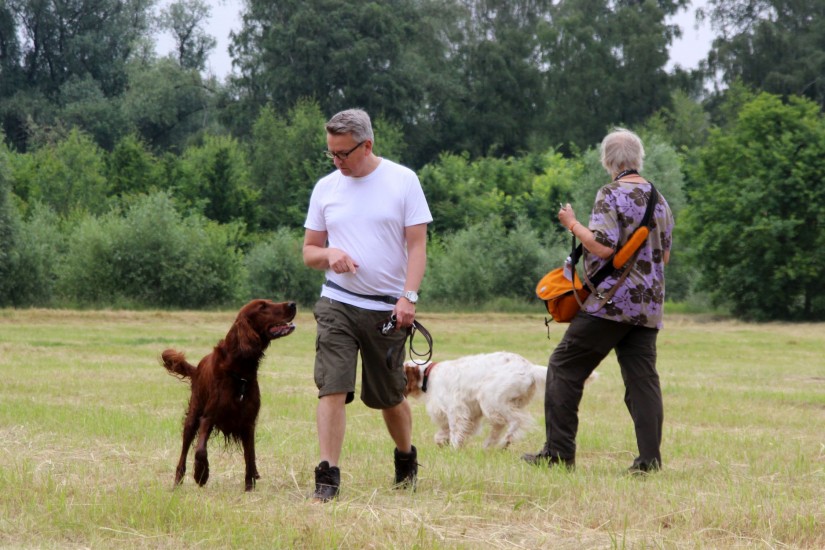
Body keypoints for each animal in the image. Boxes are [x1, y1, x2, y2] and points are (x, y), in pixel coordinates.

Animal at [161, 299, 296, 491]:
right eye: (263, 307)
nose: (293, 304)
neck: (239, 372)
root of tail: (197, 369)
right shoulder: (208, 417)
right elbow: (200, 450)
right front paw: (201, 475)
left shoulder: (248, 423)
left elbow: (250, 457)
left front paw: (249, 486)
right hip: (193, 416)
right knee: (185, 451)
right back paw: (177, 482)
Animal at [404, 351, 597, 449]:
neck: (428, 375)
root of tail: (530, 368)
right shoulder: (471, 415)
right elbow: (443, 433)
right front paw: (442, 441)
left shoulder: (456, 409)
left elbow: (454, 430)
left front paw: (453, 447)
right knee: (500, 426)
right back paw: (489, 446)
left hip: (491, 398)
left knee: (516, 421)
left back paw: (505, 441)